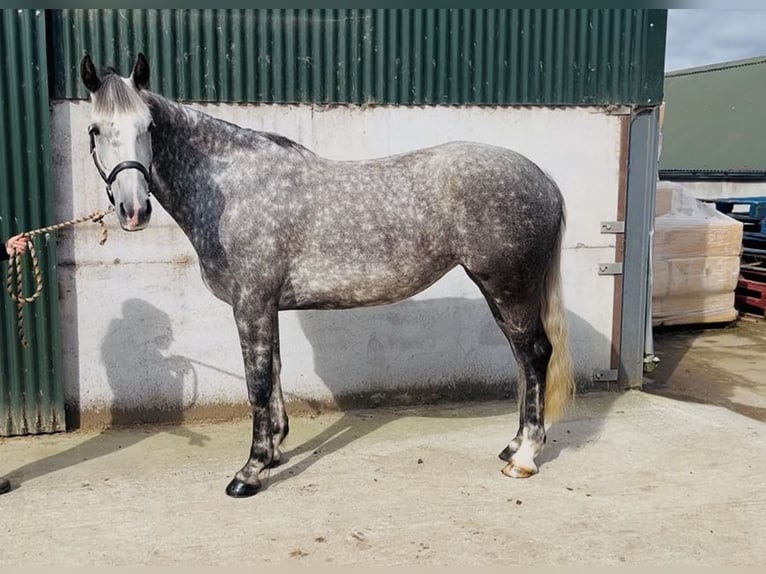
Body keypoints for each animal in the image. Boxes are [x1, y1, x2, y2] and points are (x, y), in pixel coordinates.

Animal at [80, 52, 575, 498]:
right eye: (95, 129)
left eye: (149, 128)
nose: (134, 210)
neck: (231, 189)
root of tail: (544, 180)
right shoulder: (266, 304)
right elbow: (274, 370)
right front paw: (275, 449)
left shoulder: (251, 302)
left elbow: (258, 383)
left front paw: (250, 472)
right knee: (523, 359)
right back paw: (513, 445)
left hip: (508, 287)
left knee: (534, 355)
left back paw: (525, 456)